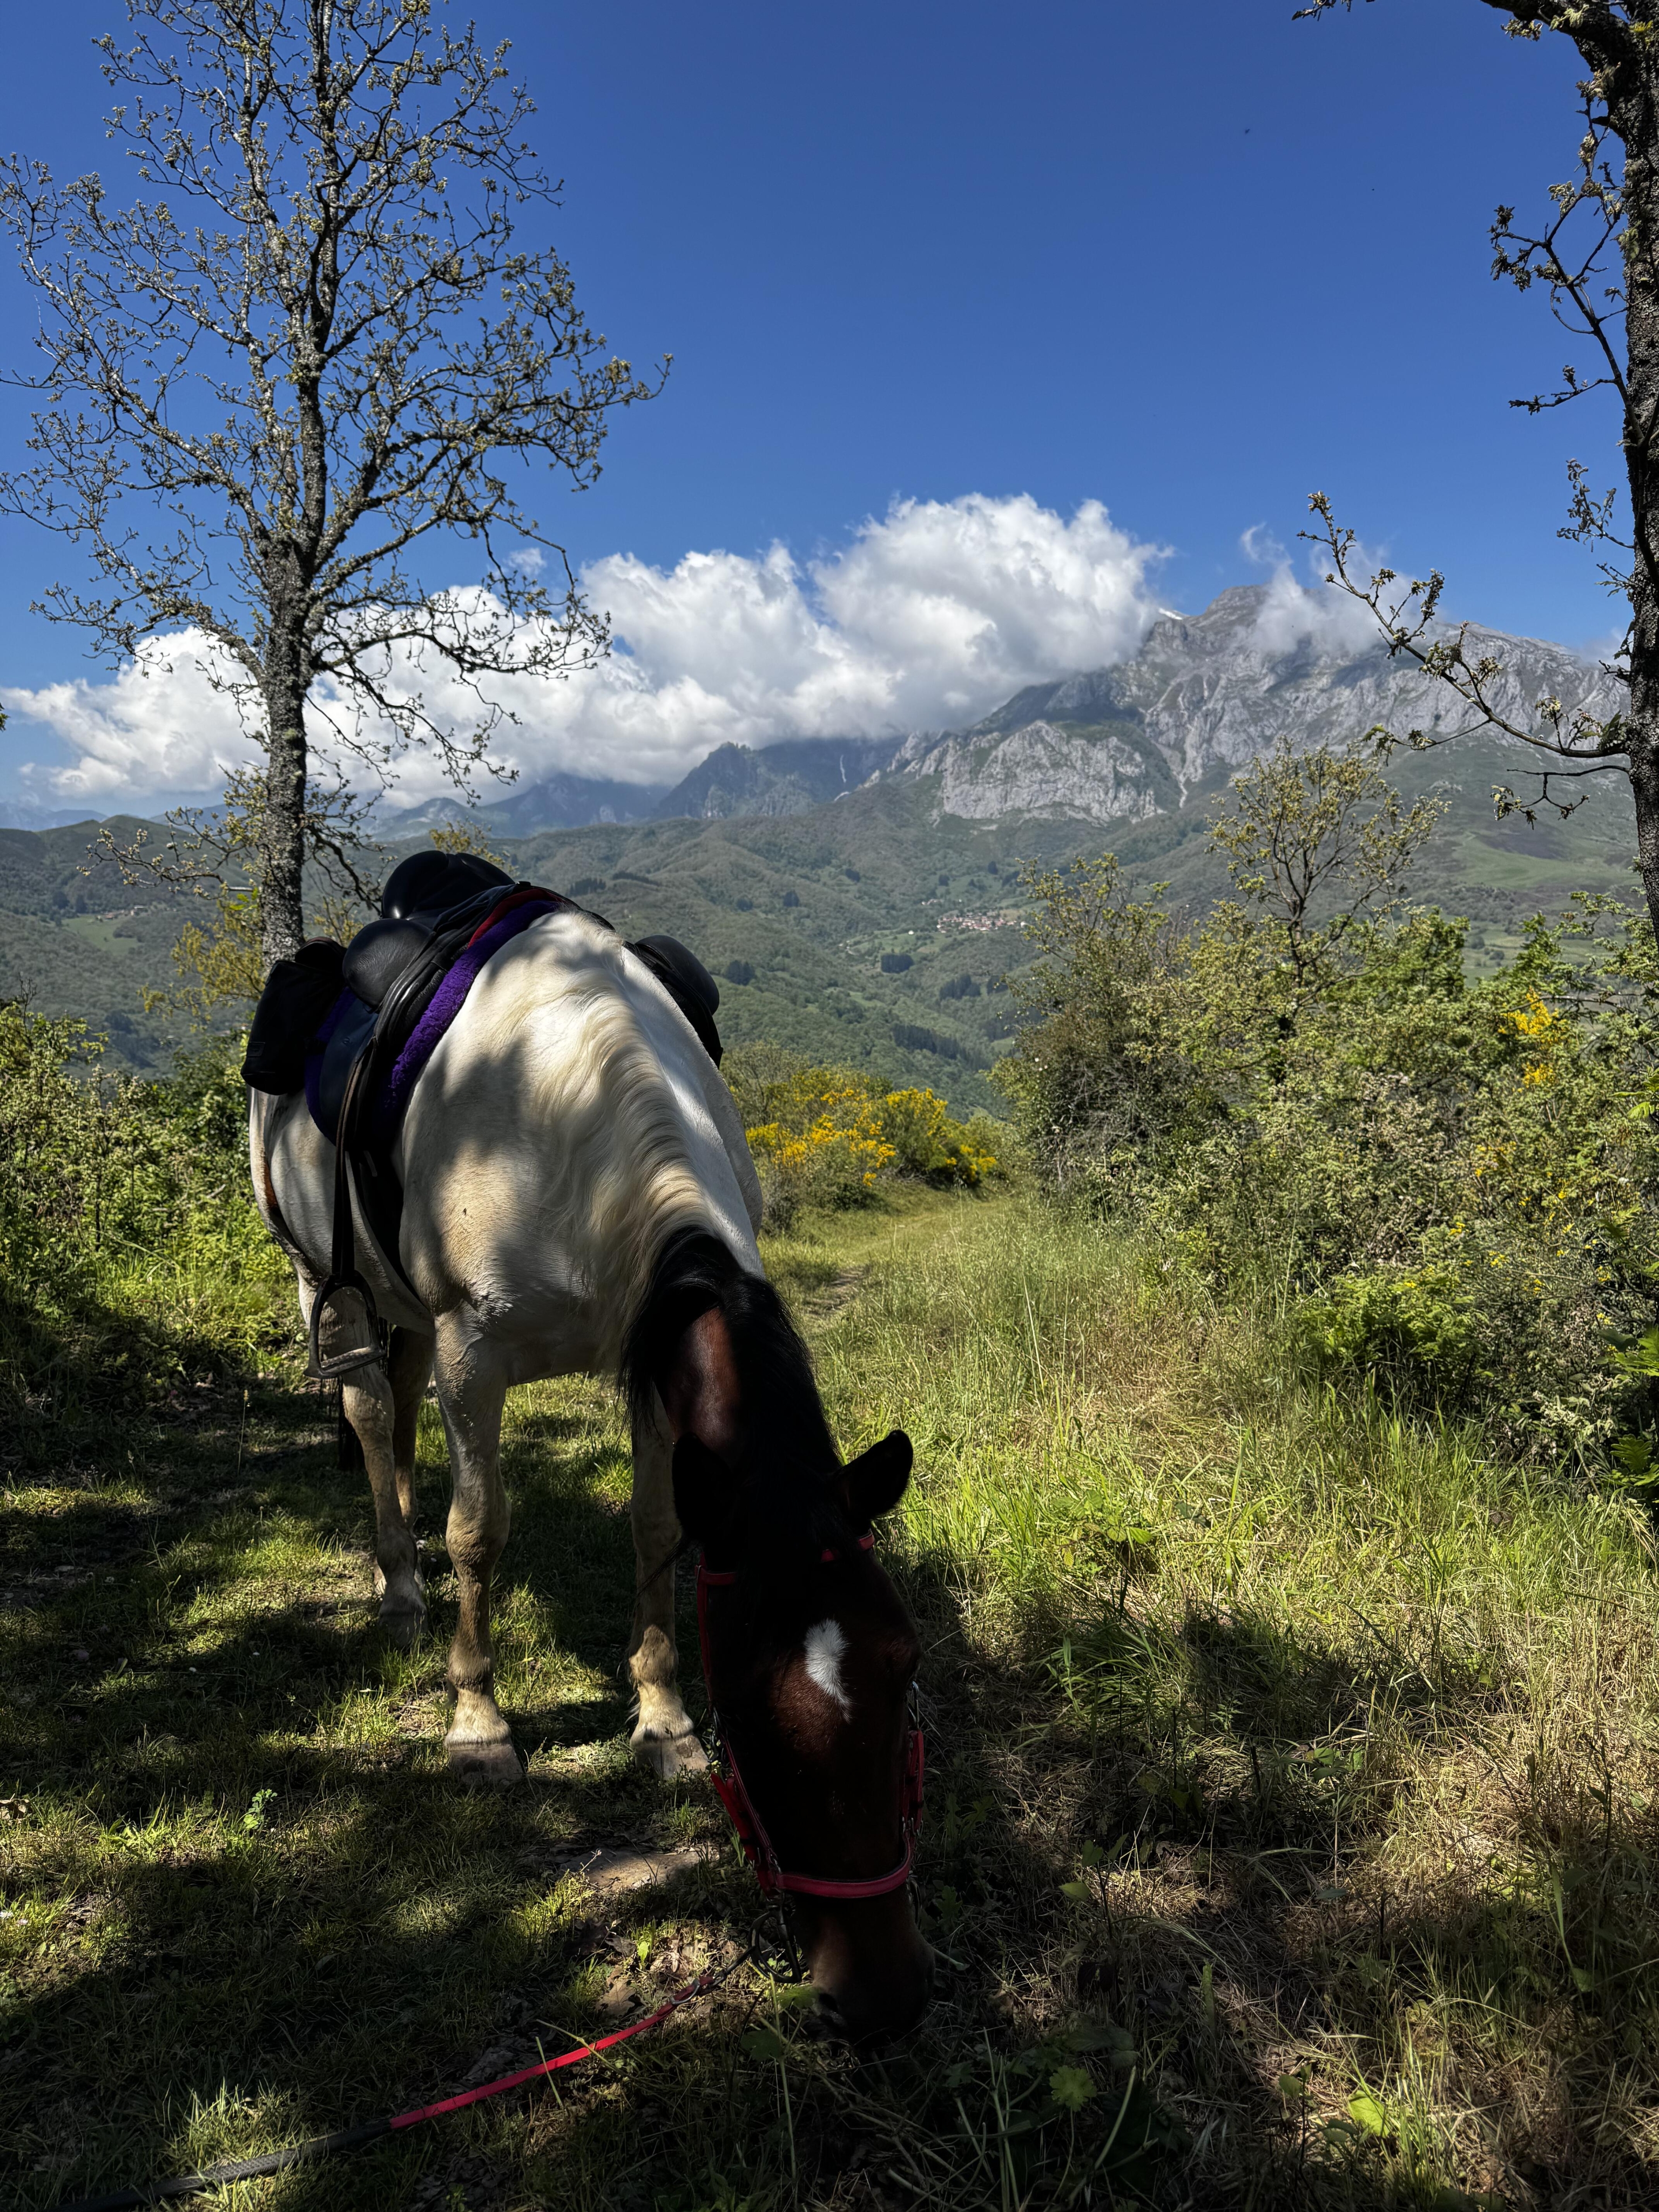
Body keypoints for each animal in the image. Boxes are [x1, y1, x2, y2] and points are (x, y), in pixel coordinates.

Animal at [249, 903, 934, 2041]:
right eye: (751, 1713)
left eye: (904, 1674)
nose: (880, 1997)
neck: (566, 1104)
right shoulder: (474, 1353)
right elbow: (478, 1531)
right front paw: (479, 1727)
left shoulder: (650, 1344)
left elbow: (657, 1531)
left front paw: (659, 1724)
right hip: (323, 1278)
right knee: (372, 1411)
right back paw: (399, 1590)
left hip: (402, 1312)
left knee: (396, 1404)